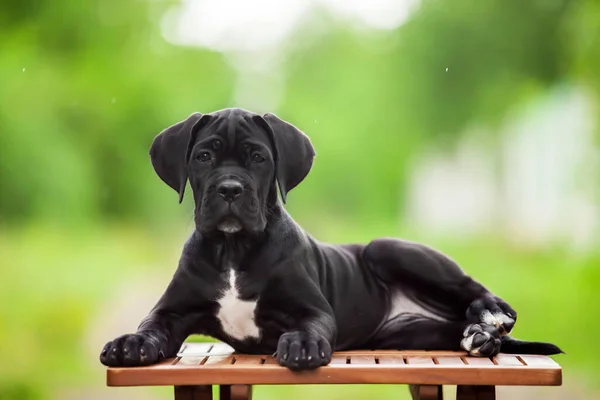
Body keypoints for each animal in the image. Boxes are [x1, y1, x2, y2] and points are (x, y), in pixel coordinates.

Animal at [99, 108, 564, 370]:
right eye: (203, 156)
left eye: (258, 157)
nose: (230, 189)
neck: (233, 250)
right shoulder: (172, 312)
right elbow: (151, 325)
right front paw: (131, 343)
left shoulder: (312, 308)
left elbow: (311, 324)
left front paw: (303, 344)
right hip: (412, 334)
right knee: (461, 330)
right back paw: (478, 337)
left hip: (390, 249)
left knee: (478, 294)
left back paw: (490, 317)